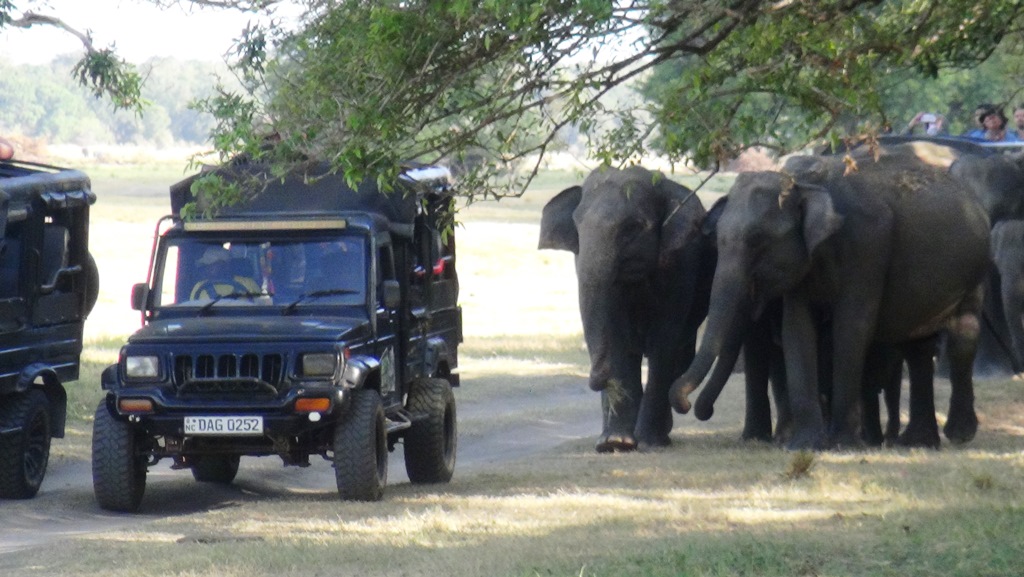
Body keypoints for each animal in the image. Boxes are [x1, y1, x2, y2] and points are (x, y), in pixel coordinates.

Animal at [539, 165, 713, 452]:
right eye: (577, 224)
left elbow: (663, 340)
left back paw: (661, 436)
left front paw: (648, 442)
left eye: (634, 227)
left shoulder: (681, 263)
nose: (597, 377)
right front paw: (614, 443)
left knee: (678, 356)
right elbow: (615, 337)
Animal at [670, 143, 991, 450]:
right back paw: (918, 442)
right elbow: (797, 330)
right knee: (918, 346)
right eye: (718, 239)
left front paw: (842, 445)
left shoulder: (867, 246)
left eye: (758, 240)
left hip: (975, 269)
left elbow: (852, 328)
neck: (804, 182)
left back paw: (958, 434)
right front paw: (803, 445)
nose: (690, 407)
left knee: (963, 336)